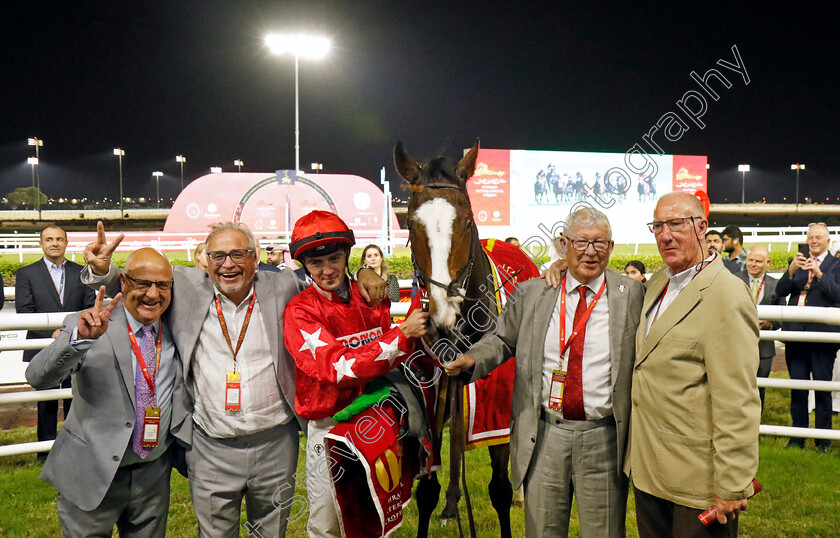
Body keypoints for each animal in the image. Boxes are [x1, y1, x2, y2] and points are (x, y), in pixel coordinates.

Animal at [396, 139, 536, 536]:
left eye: (467, 221)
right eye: (411, 223)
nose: (443, 316)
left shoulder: (496, 414)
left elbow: (499, 489)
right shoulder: (432, 410)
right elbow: (428, 489)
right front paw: (443, 505)